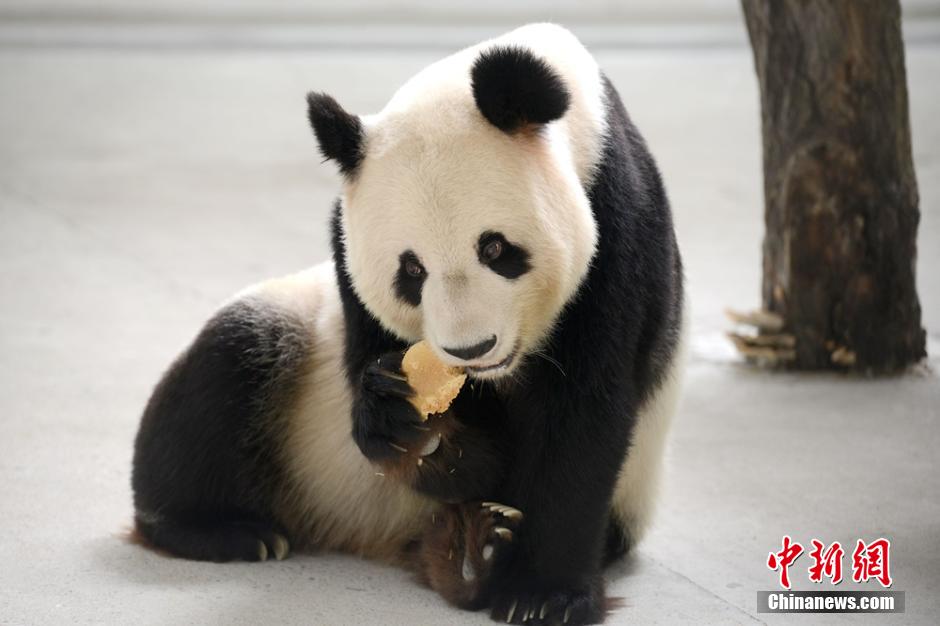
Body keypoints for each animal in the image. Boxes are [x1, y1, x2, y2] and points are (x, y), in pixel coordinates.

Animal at [130, 22, 684, 620]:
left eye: (495, 249)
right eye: (411, 270)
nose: (471, 349)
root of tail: (369, 535)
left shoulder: (619, 229)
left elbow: (581, 415)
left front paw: (545, 596)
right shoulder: (343, 250)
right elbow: (391, 383)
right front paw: (407, 420)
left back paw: (473, 557)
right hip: (300, 359)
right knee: (230, 360)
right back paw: (223, 529)